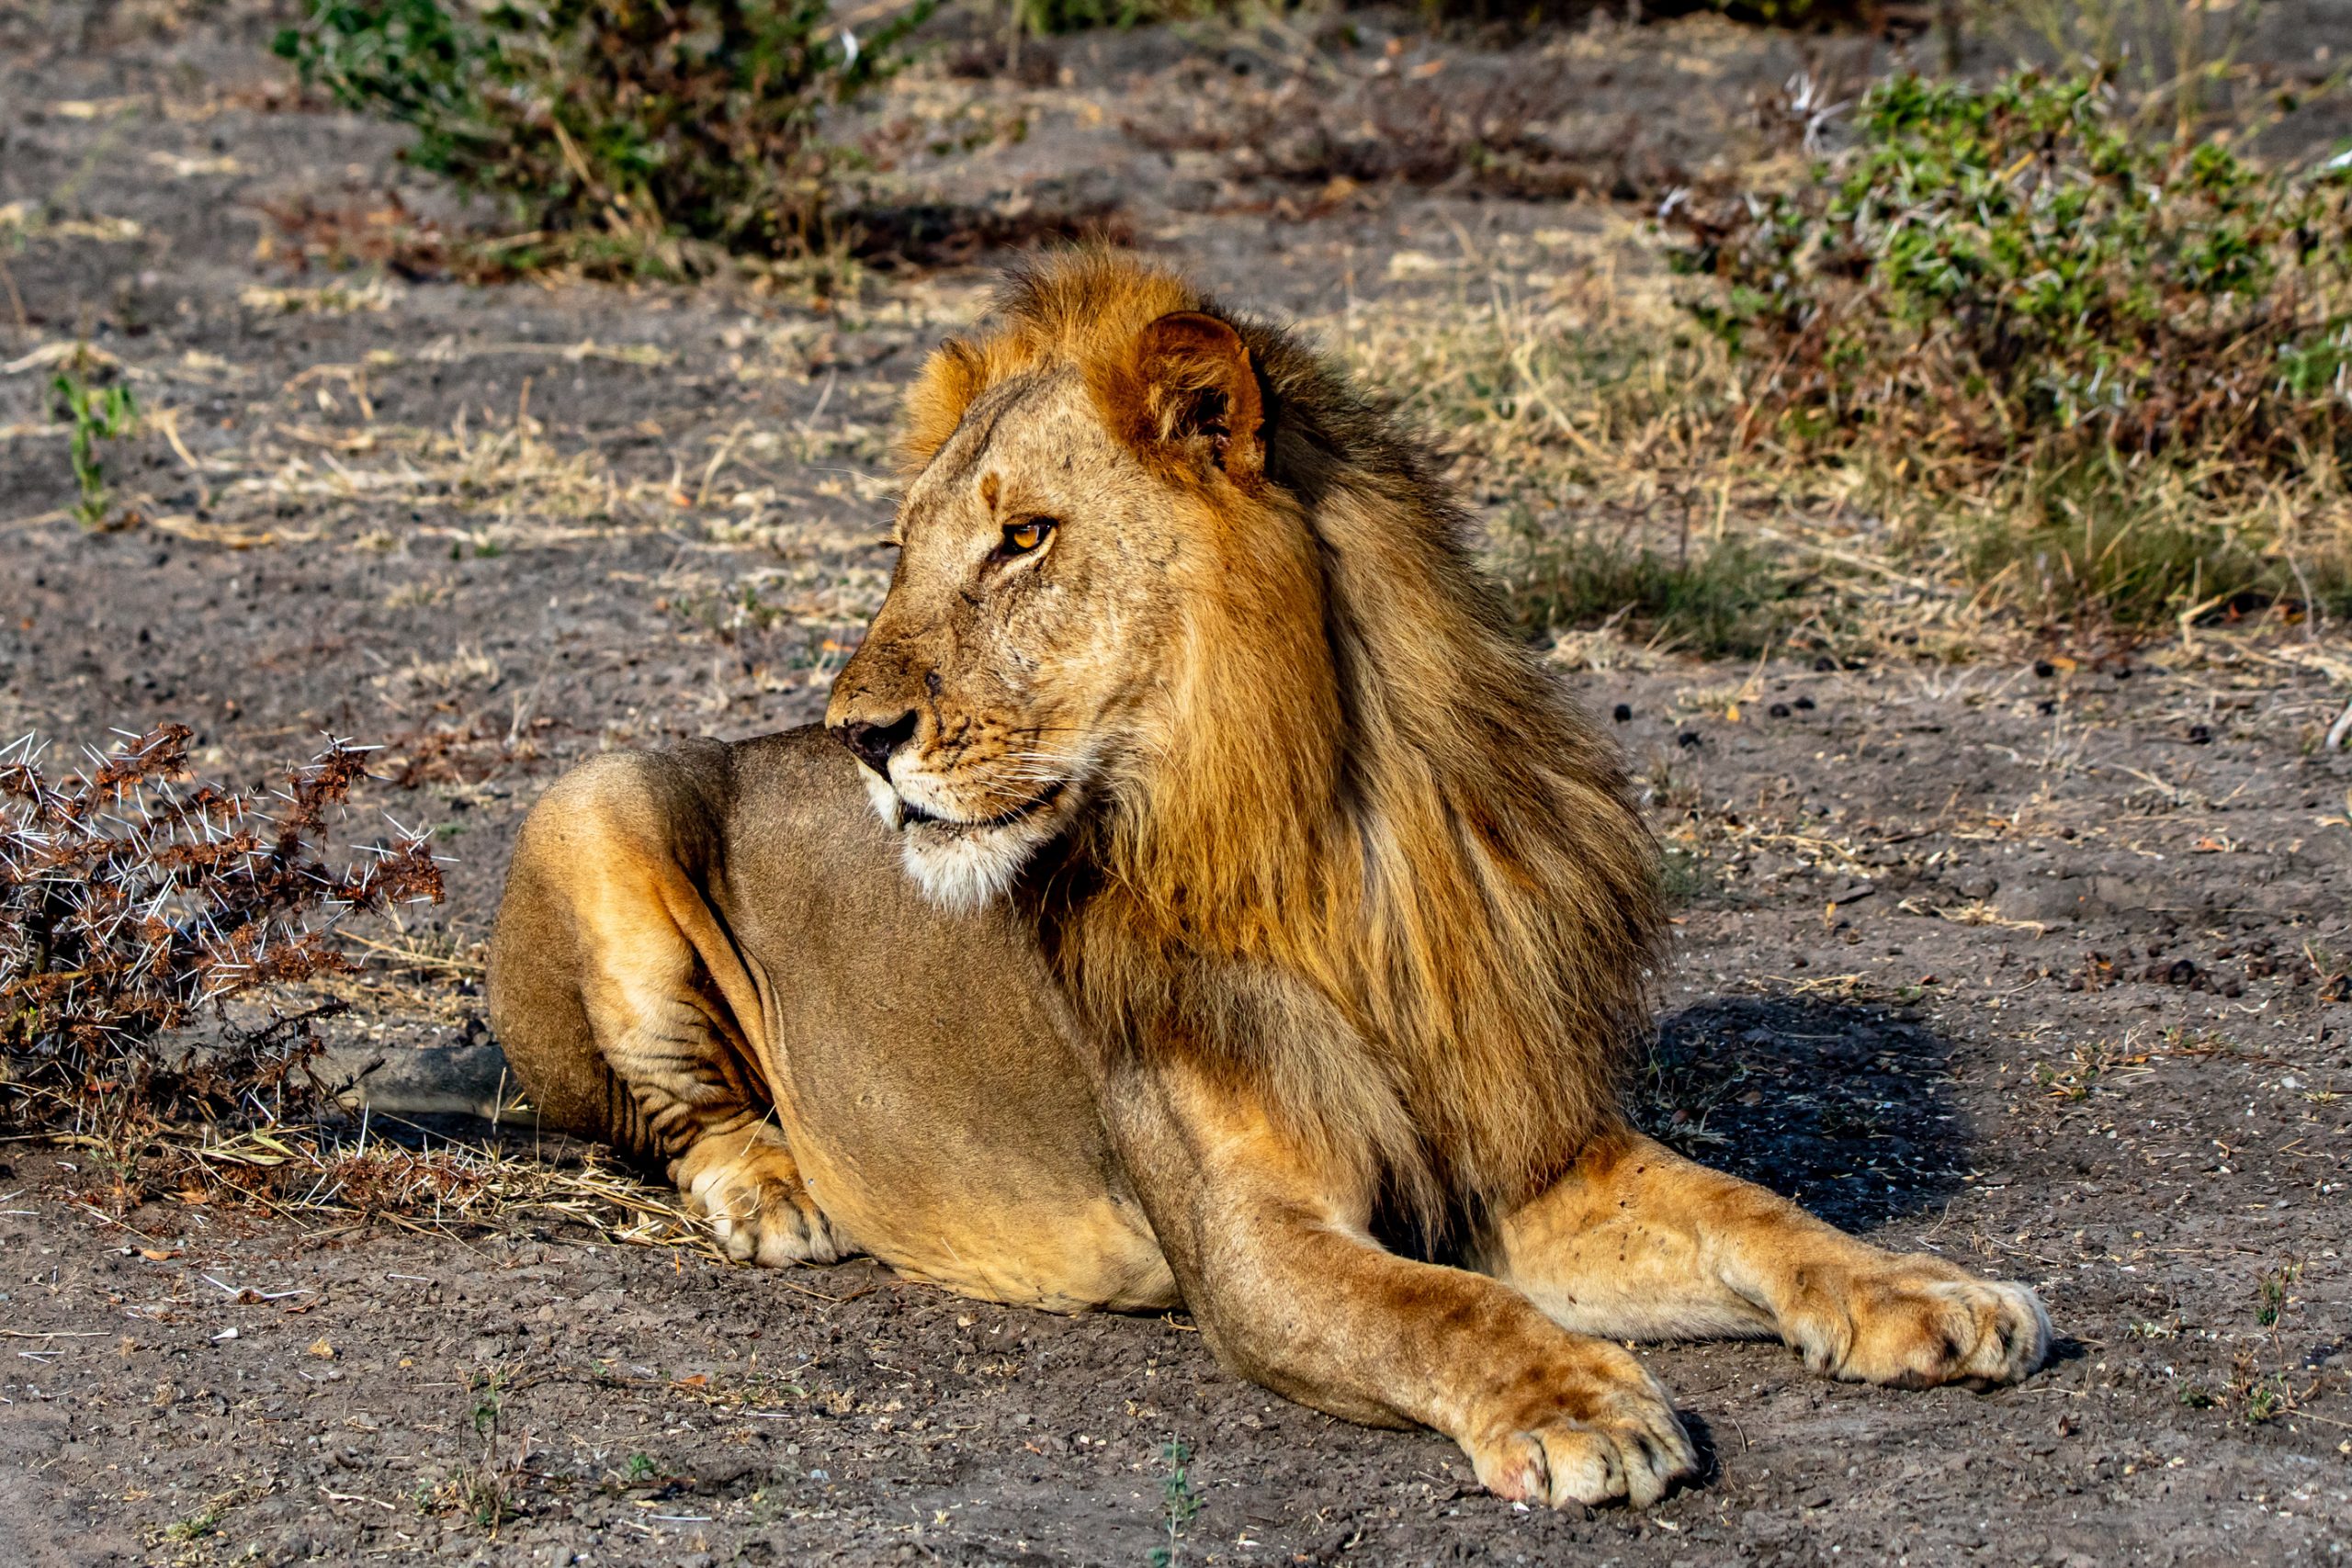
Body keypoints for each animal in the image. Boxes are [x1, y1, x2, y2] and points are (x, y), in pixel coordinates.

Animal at [487, 250, 2049, 1509]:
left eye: (1024, 536)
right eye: (905, 552)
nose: (859, 736)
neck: (1323, 843)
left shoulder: (1523, 1153)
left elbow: (1748, 1205)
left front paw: (1930, 1292)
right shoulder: (1250, 1242)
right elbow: (1443, 1310)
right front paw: (1582, 1401)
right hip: (592, 796)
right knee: (675, 1114)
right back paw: (777, 1189)